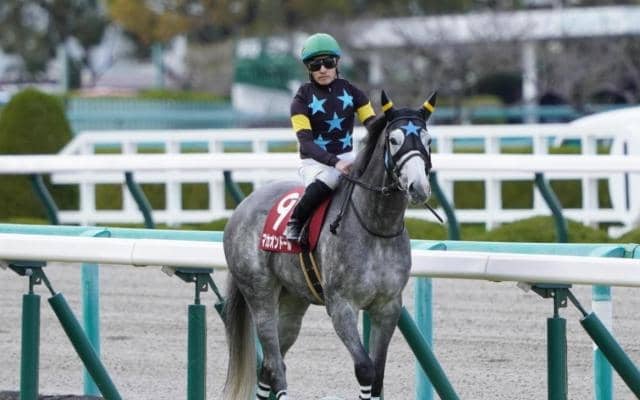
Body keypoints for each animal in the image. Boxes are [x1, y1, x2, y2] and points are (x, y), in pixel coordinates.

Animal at [222, 90, 436, 400]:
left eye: (428, 139)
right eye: (394, 140)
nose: (418, 187)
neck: (375, 227)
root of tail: (241, 208)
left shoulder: (388, 306)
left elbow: (378, 374)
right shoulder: (341, 306)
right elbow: (366, 369)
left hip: (292, 300)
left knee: (269, 365)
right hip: (259, 293)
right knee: (273, 363)